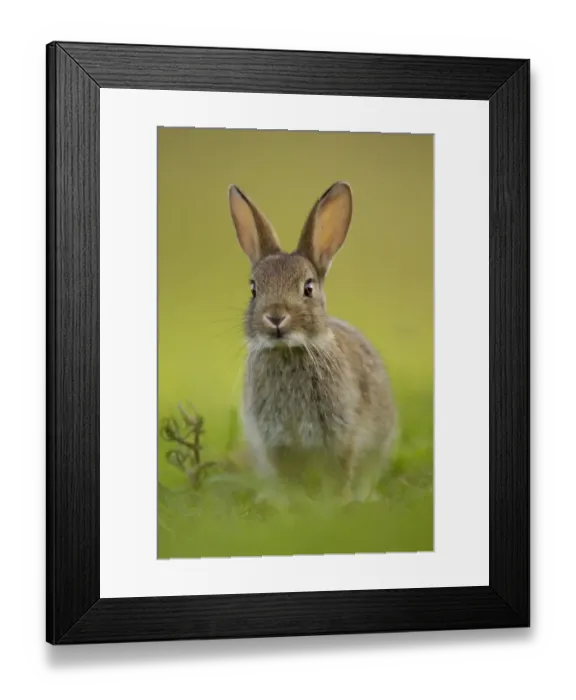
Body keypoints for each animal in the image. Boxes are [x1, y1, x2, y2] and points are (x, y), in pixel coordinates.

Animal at [228, 181, 397, 503]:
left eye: (308, 288)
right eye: (254, 289)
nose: (275, 318)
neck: (288, 350)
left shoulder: (341, 435)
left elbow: (340, 471)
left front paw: (337, 501)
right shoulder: (276, 442)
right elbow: (287, 478)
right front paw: (290, 502)